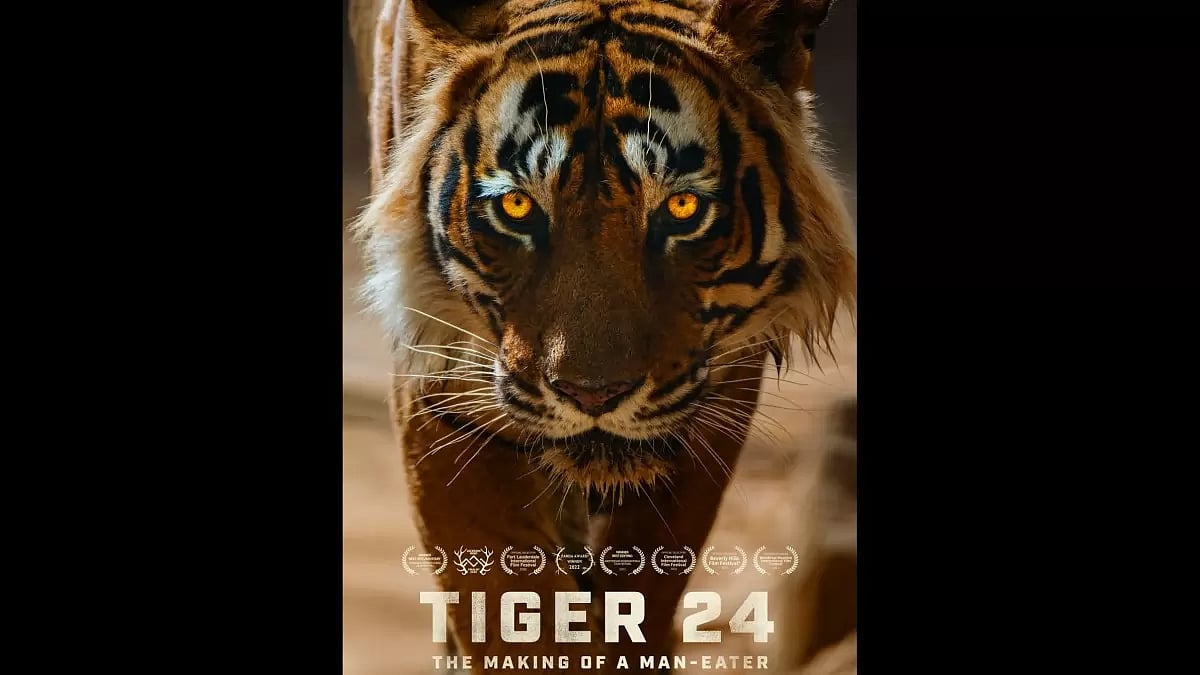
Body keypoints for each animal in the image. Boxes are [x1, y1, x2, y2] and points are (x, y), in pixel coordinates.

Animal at [348, 0, 856, 670]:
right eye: (516, 208)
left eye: (682, 210)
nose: (593, 394)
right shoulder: (442, 387)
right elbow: (510, 603)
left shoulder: (714, 400)